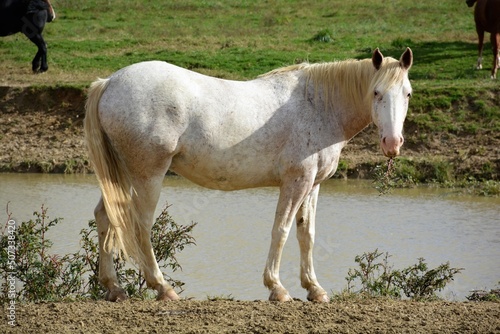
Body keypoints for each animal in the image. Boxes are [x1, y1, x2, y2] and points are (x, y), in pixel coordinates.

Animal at [85, 47, 414, 302]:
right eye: (376, 92)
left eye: (408, 94)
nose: (392, 143)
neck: (318, 106)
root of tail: (110, 81)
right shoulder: (296, 182)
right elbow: (281, 231)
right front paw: (277, 288)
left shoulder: (313, 185)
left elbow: (306, 234)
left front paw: (314, 289)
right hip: (147, 176)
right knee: (140, 225)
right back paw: (162, 288)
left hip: (122, 176)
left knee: (106, 217)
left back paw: (114, 288)